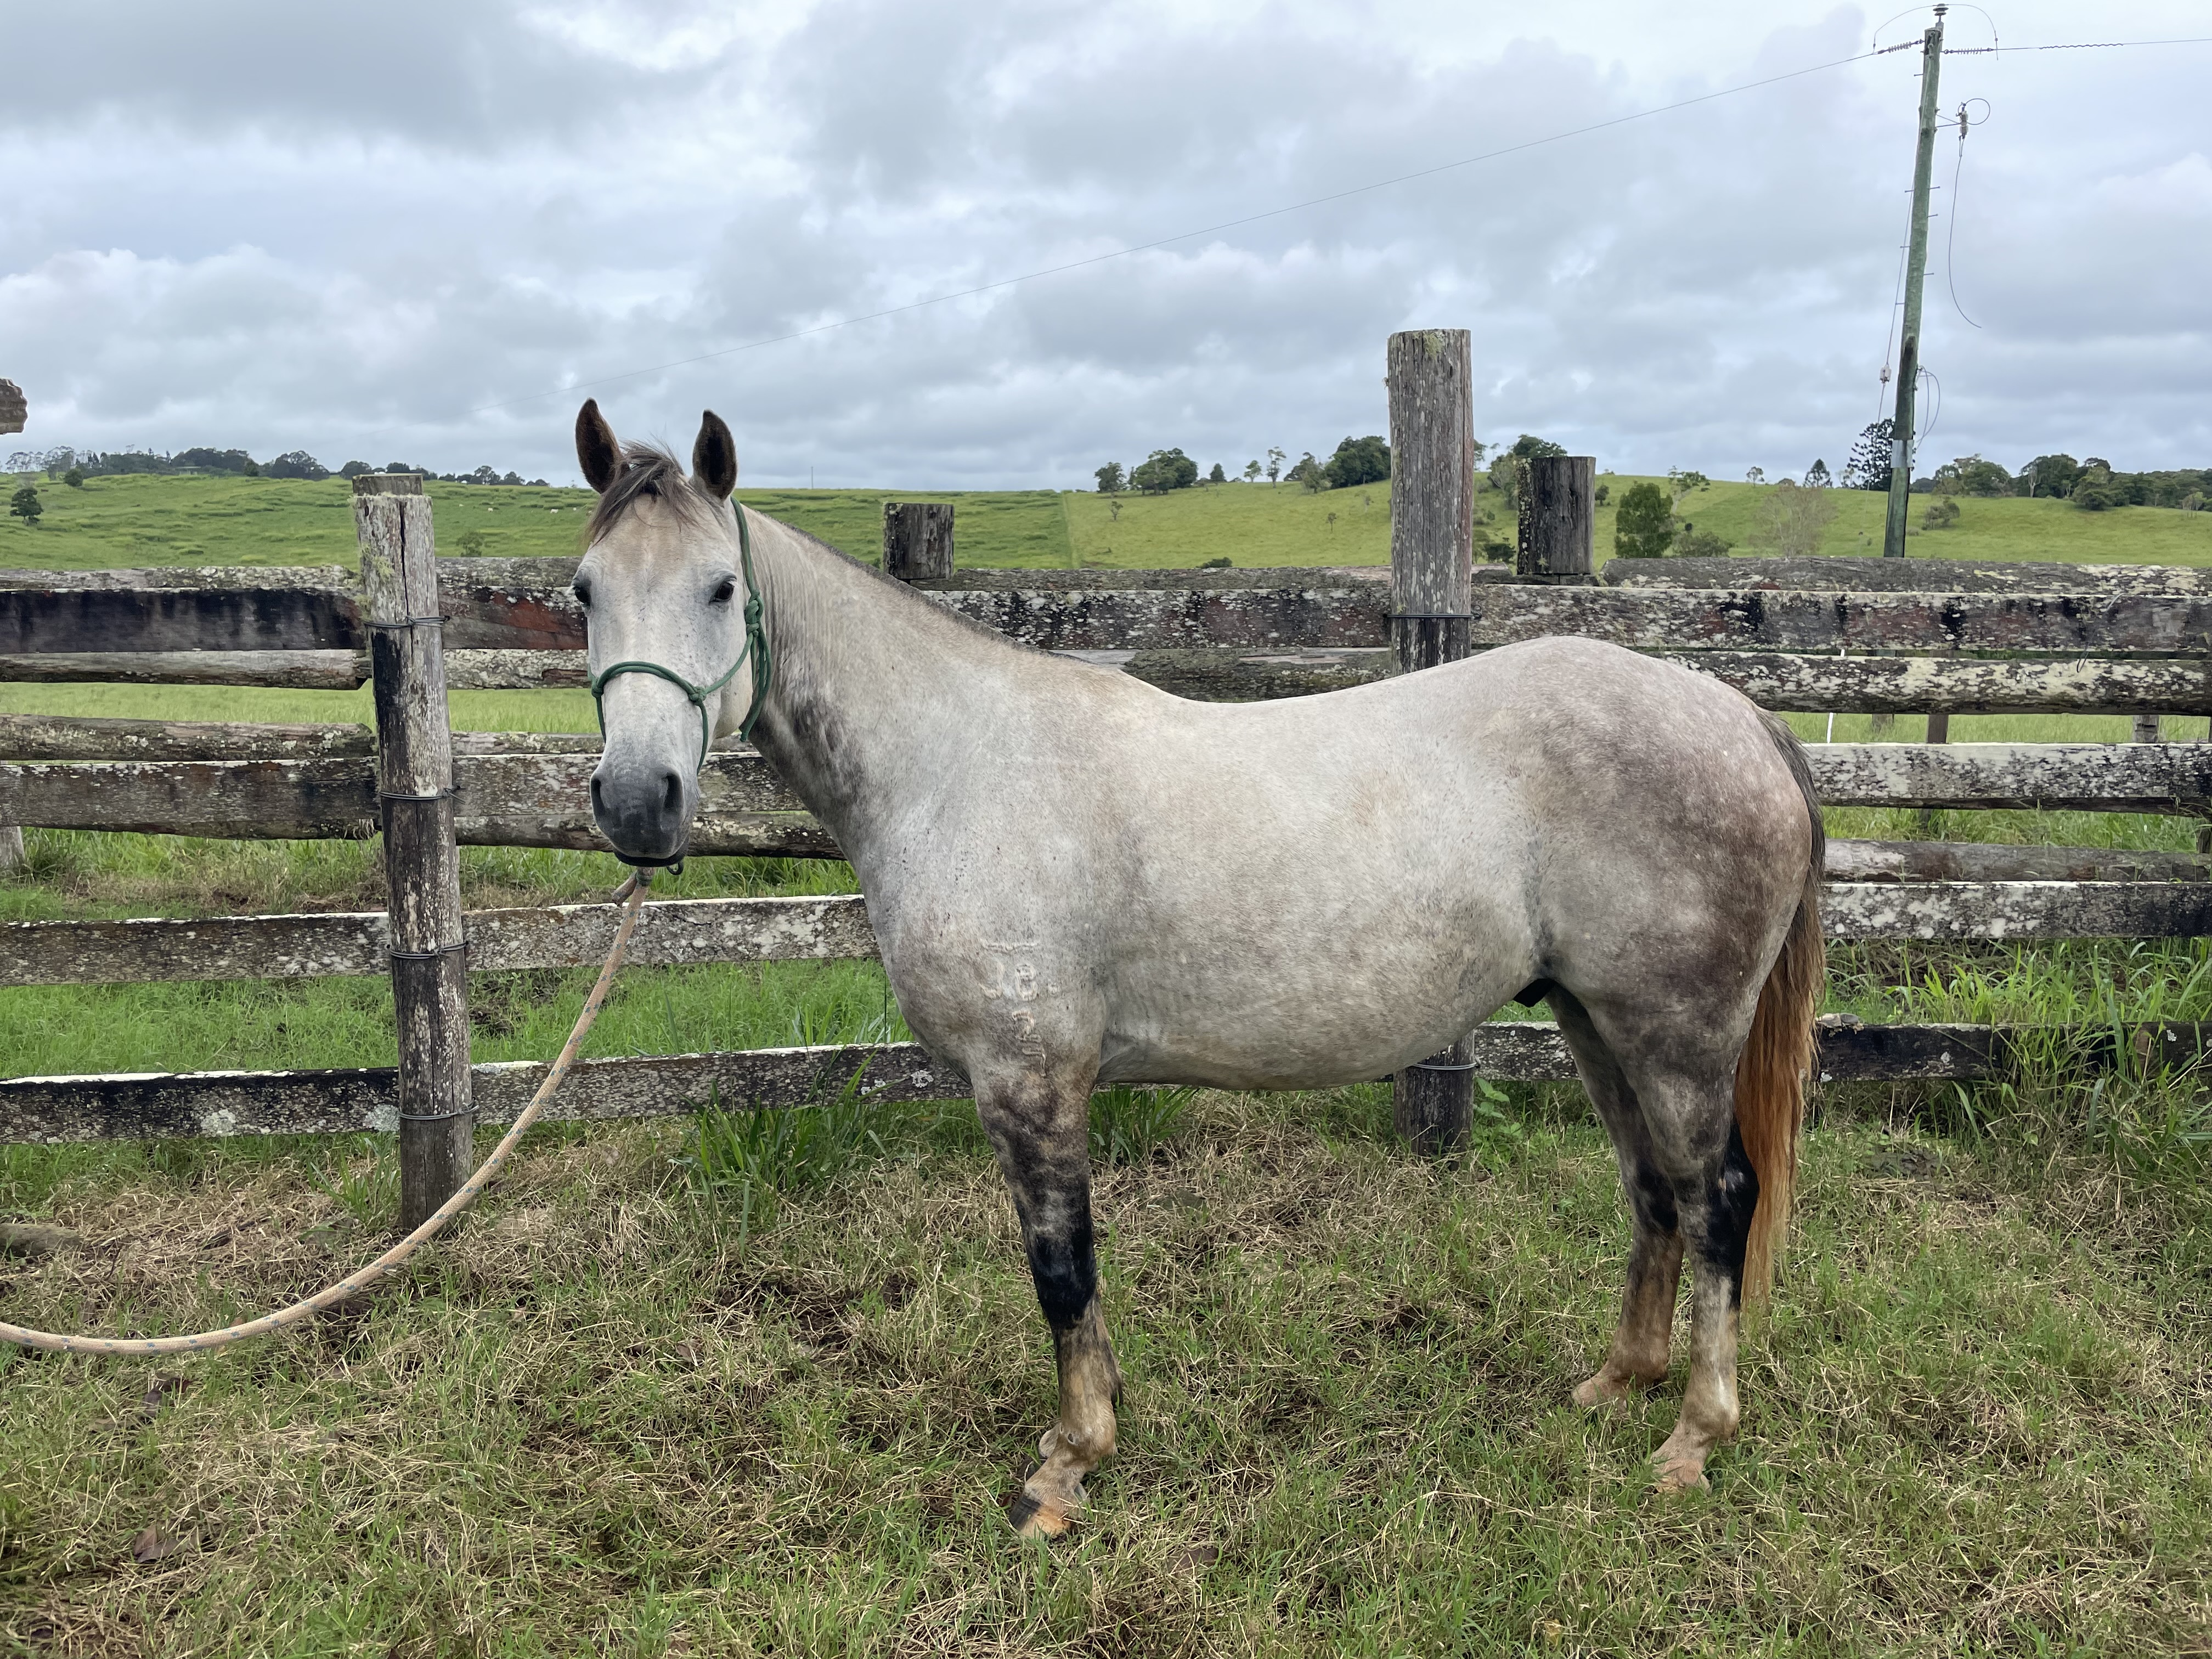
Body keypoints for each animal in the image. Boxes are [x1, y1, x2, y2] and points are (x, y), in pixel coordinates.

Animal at [569, 401, 1825, 1537]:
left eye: (718, 589)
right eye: (584, 591)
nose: (637, 802)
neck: (959, 765)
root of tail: (1741, 718)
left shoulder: (1030, 1080)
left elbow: (1062, 1265)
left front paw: (1068, 1467)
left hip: (1678, 1036)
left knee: (1719, 1200)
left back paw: (1692, 1437)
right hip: (1593, 1019)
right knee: (1653, 1191)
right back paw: (1618, 1383)